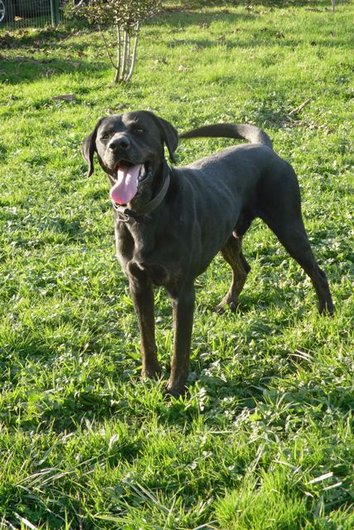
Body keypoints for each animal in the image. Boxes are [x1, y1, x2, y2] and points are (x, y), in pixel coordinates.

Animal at [81, 109, 334, 394]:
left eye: (140, 130)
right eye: (105, 136)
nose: (118, 145)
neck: (144, 216)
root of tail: (263, 147)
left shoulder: (182, 292)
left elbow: (180, 348)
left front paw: (174, 388)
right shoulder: (138, 285)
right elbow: (147, 338)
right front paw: (149, 376)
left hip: (289, 227)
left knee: (317, 272)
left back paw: (326, 311)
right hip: (227, 236)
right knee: (243, 268)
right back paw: (227, 304)